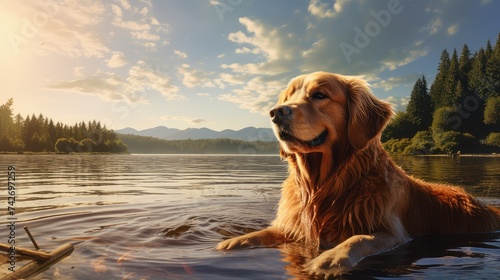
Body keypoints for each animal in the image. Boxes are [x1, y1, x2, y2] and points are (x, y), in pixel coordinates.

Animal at [217, 71, 500, 276]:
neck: (325, 185)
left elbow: (358, 238)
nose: (276, 112)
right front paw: (232, 242)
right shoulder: (296, 227)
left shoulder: (394, 234)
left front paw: (328, 259)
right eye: (287, 97)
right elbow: (265, 233)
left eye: (319, 95)